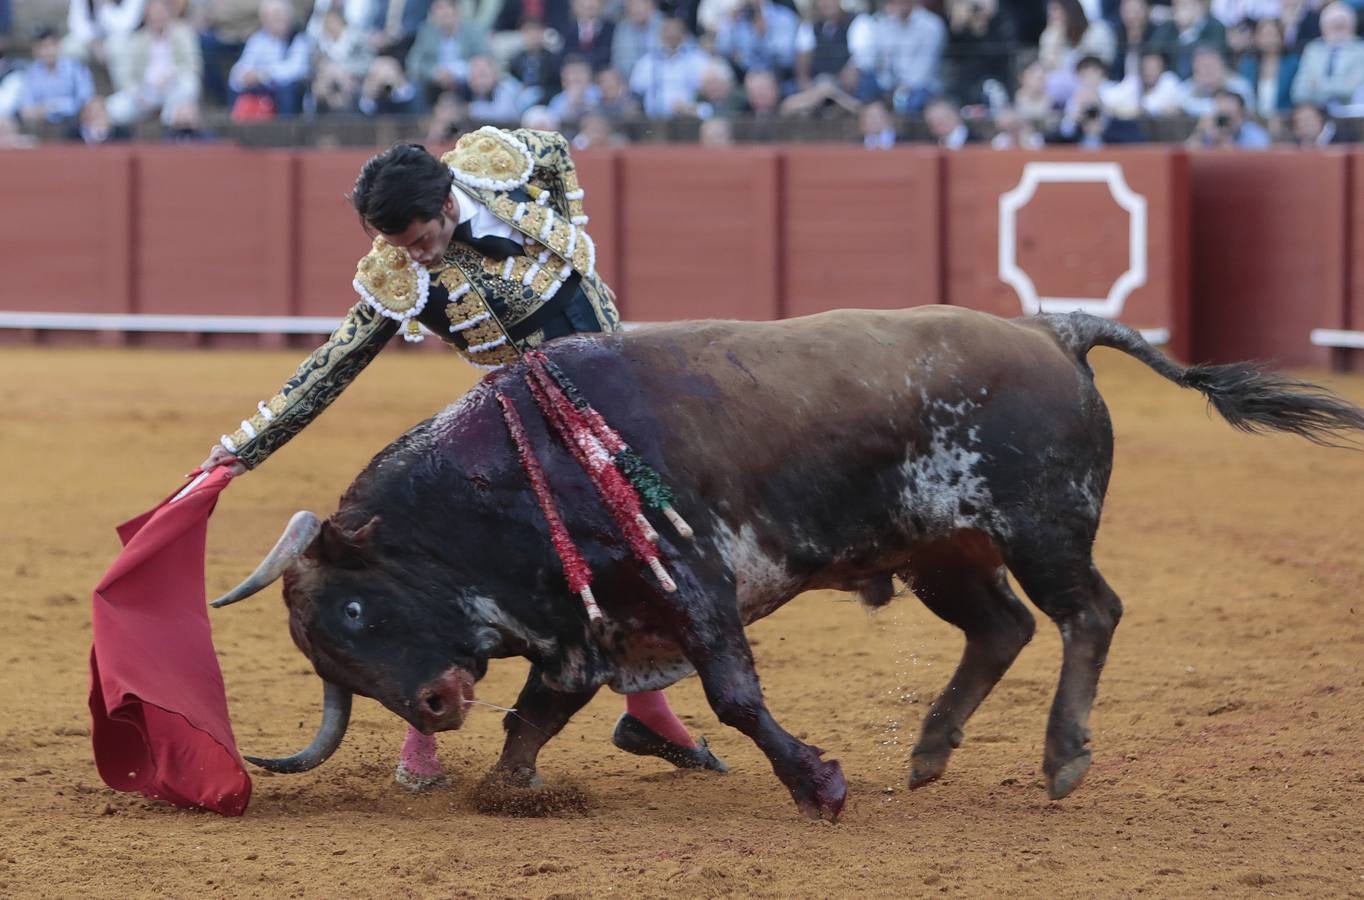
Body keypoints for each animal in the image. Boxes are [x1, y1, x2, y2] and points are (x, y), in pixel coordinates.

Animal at [212, 308, 1364, 823]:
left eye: (352, 617)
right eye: (329, 657)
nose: (435, 703)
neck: (515, 470)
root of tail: (1054, 329)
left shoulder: (692, 588)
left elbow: (730, 695)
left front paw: (817, 782)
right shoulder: (587, 625)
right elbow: (539, 710)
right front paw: (508, 787)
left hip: (1044, 529)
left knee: (1091, 612)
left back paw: (1062, 757)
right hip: (945, 551)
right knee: (1002, 627)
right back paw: (929, 753)